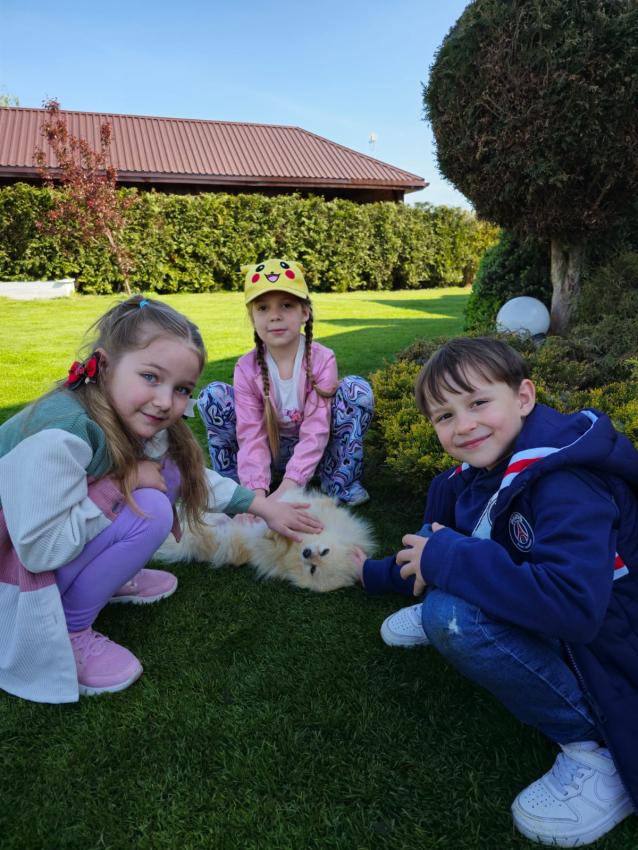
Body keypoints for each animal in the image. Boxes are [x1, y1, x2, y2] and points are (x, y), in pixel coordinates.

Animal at [157, 488, 374, 592]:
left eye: (313, 569)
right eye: (325, 551)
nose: (307, 554)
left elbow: (271, 542)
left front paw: (274, 533)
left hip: (216, 539)